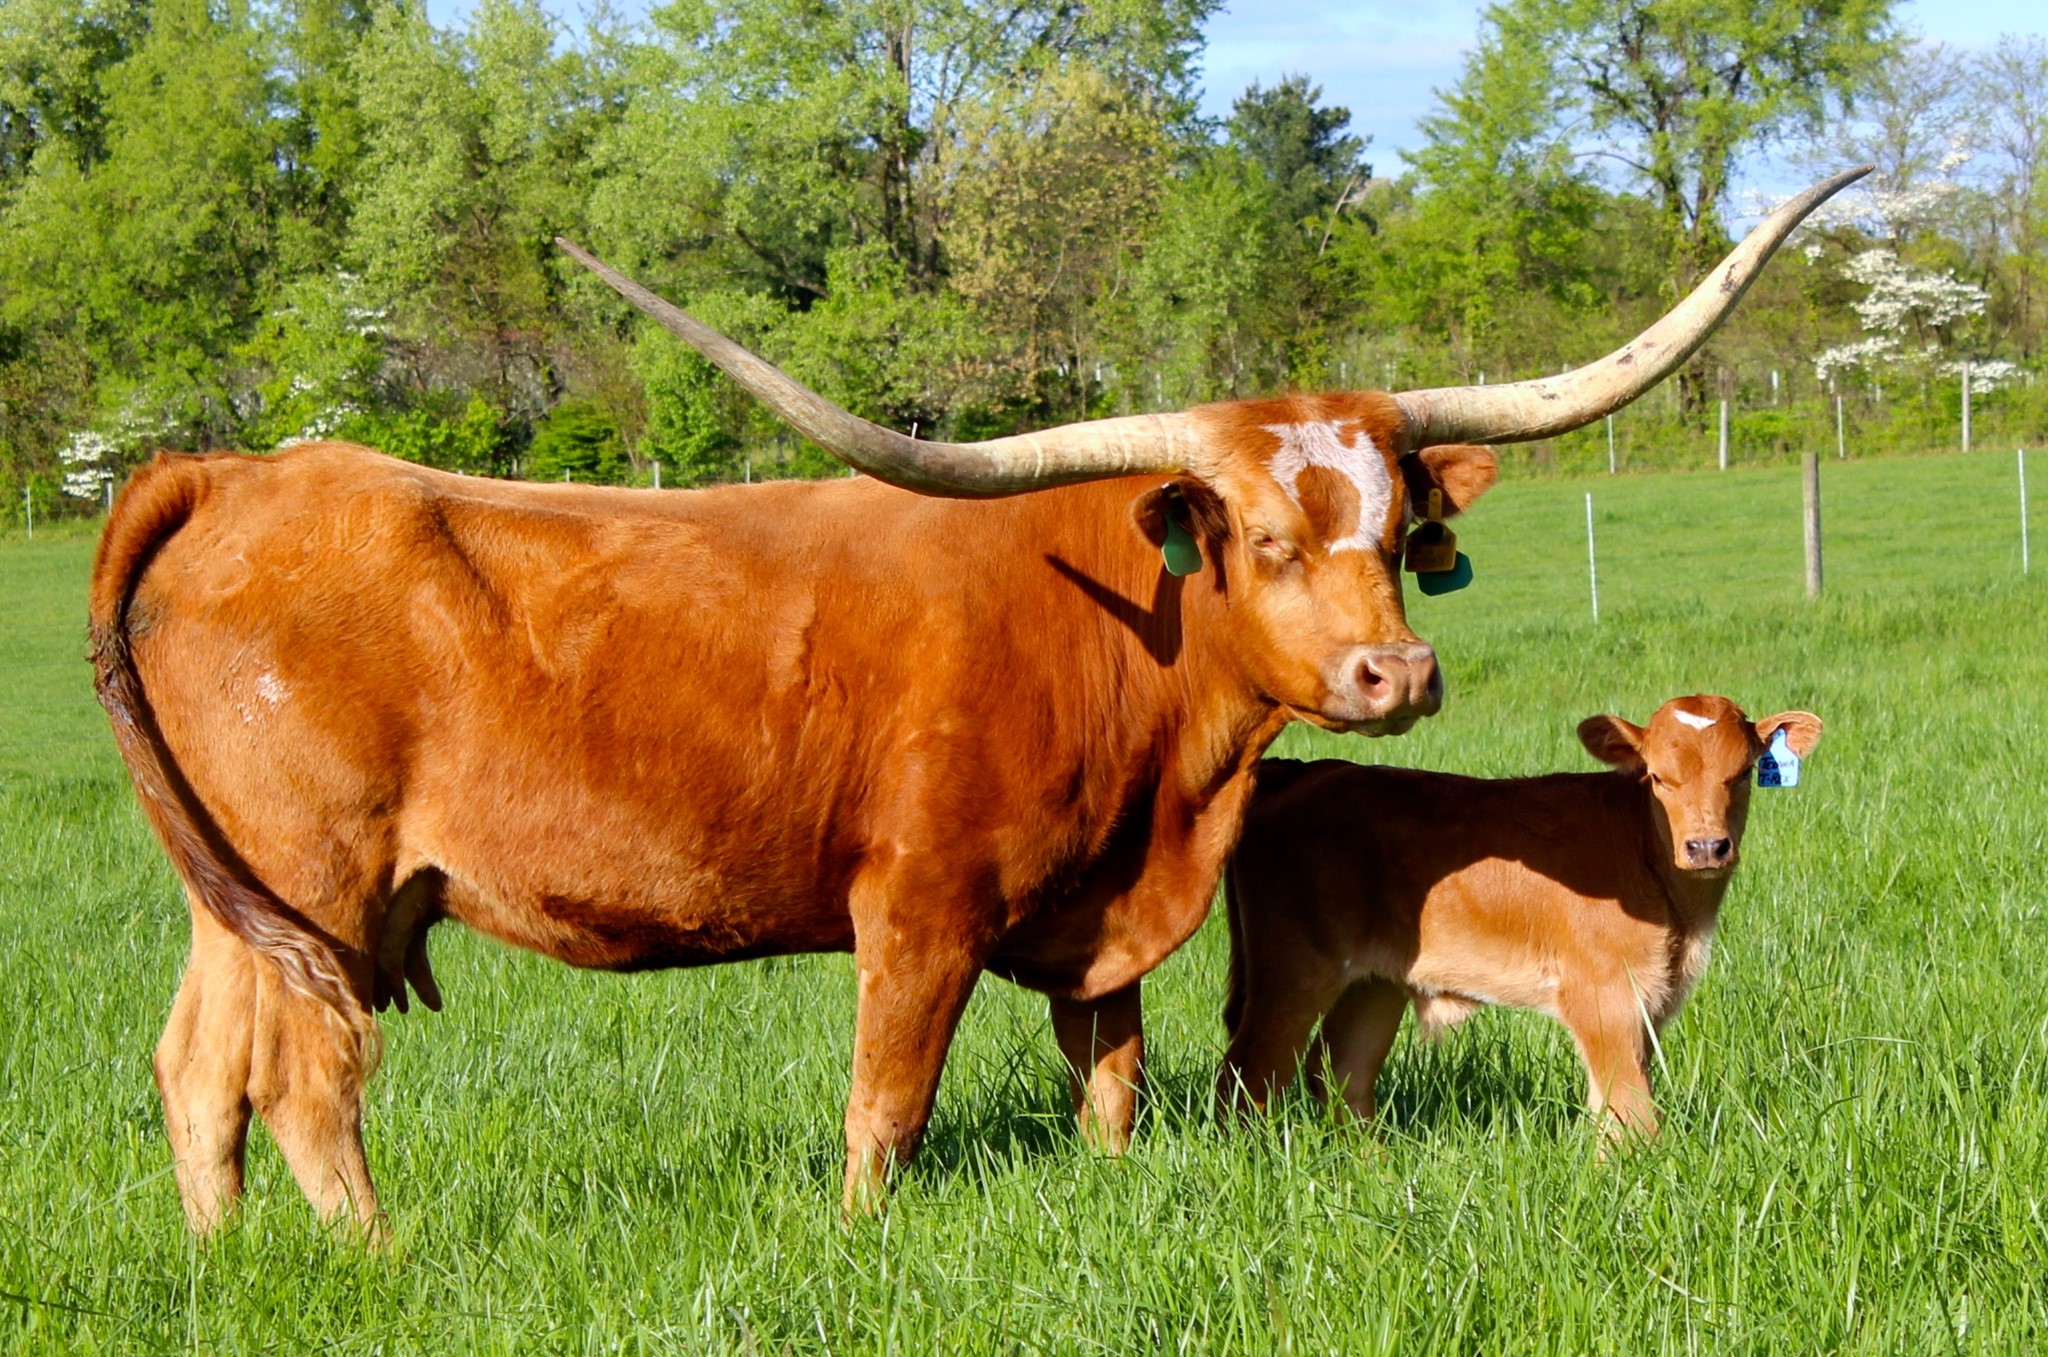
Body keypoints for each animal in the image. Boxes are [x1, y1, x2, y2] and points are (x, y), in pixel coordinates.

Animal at [1218, 696, 1825, 1137]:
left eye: (1744, 773)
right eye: (1656, 777)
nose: (1706, 847)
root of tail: (1300, 772)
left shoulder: (1649, 999)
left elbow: (1610, 1107)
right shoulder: (1603, 994)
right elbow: (1631, 1110)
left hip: (1372, 982)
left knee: (1340, 1072)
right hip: (1294, 970)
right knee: (1249, 1075)